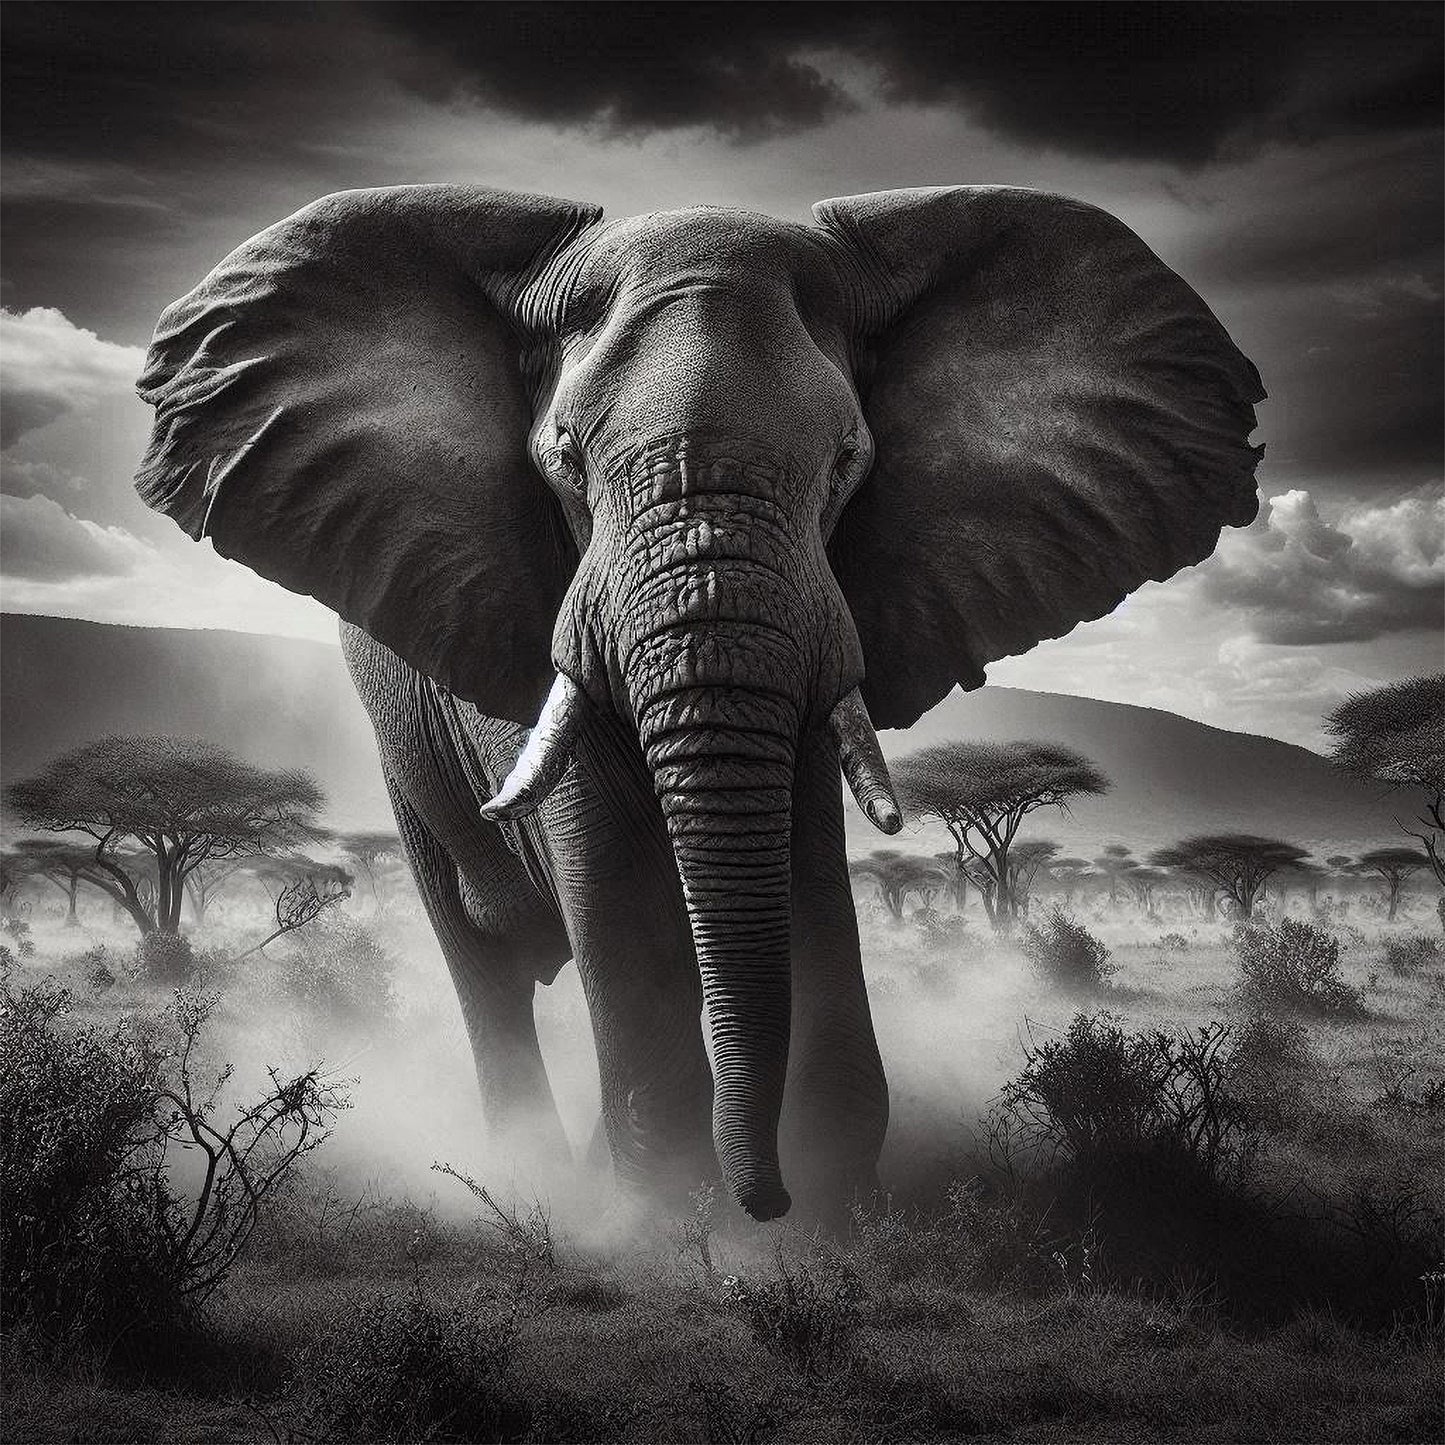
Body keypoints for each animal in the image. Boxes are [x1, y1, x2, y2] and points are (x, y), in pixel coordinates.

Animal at [131, 184, 1263, 1221]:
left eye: (847, 461)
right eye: (563, 459)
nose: (765, 1199)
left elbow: (803, 872)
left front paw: (832, 1204)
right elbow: (616, 877)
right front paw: (664, 1219)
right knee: (484, 963)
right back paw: (533, 1172)